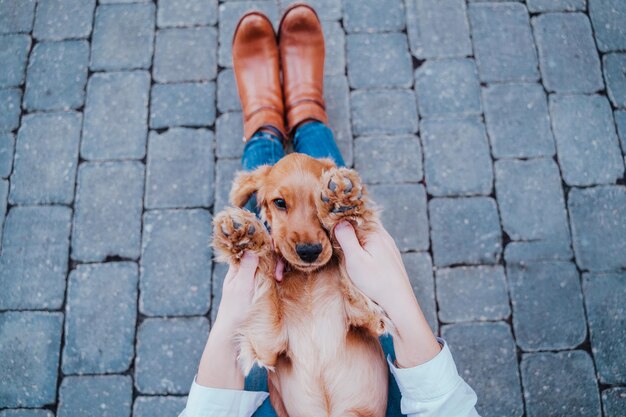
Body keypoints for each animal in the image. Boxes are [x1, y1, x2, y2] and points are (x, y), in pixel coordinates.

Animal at [213, 153, 390, 416]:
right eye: (279, 202)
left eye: (317, 199)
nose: (309, 252)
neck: (308, 281)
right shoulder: (267, 345)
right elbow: (266, 269)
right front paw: (244, 235)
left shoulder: (370, 317)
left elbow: (346, 247)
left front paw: (341, 202)